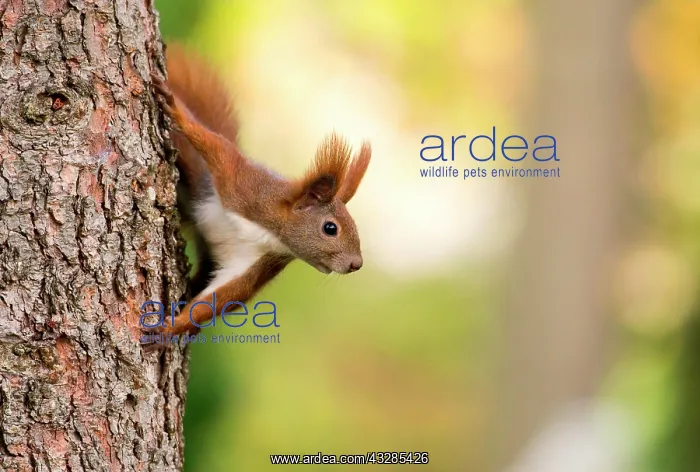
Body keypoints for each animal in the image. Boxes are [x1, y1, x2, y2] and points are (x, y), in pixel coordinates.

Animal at [148, 44, 371, 336]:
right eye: (330, 228)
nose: (357, 264)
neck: (268, 231)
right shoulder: (242, 185)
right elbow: (217, 146)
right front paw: (176, 109)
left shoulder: (259, 262)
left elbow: (225, 297)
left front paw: (171, 328)